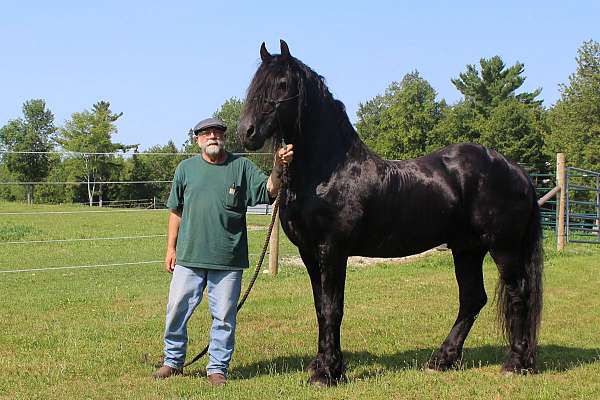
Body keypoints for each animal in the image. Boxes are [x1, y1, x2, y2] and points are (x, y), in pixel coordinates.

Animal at [239, 39, 544, 384]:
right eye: (255, 83)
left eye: (281, 83)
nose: (247, 131)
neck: (329, 171)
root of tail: (516, 170)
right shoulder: (309, 252)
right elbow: (320, 308)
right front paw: (322, 366)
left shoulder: (332, 251)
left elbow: (333, 308)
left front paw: (328, 372)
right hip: (467, 248)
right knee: (472, 299)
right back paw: (442, 359)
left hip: (503, 248)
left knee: (519, 294)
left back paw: (516, 363)